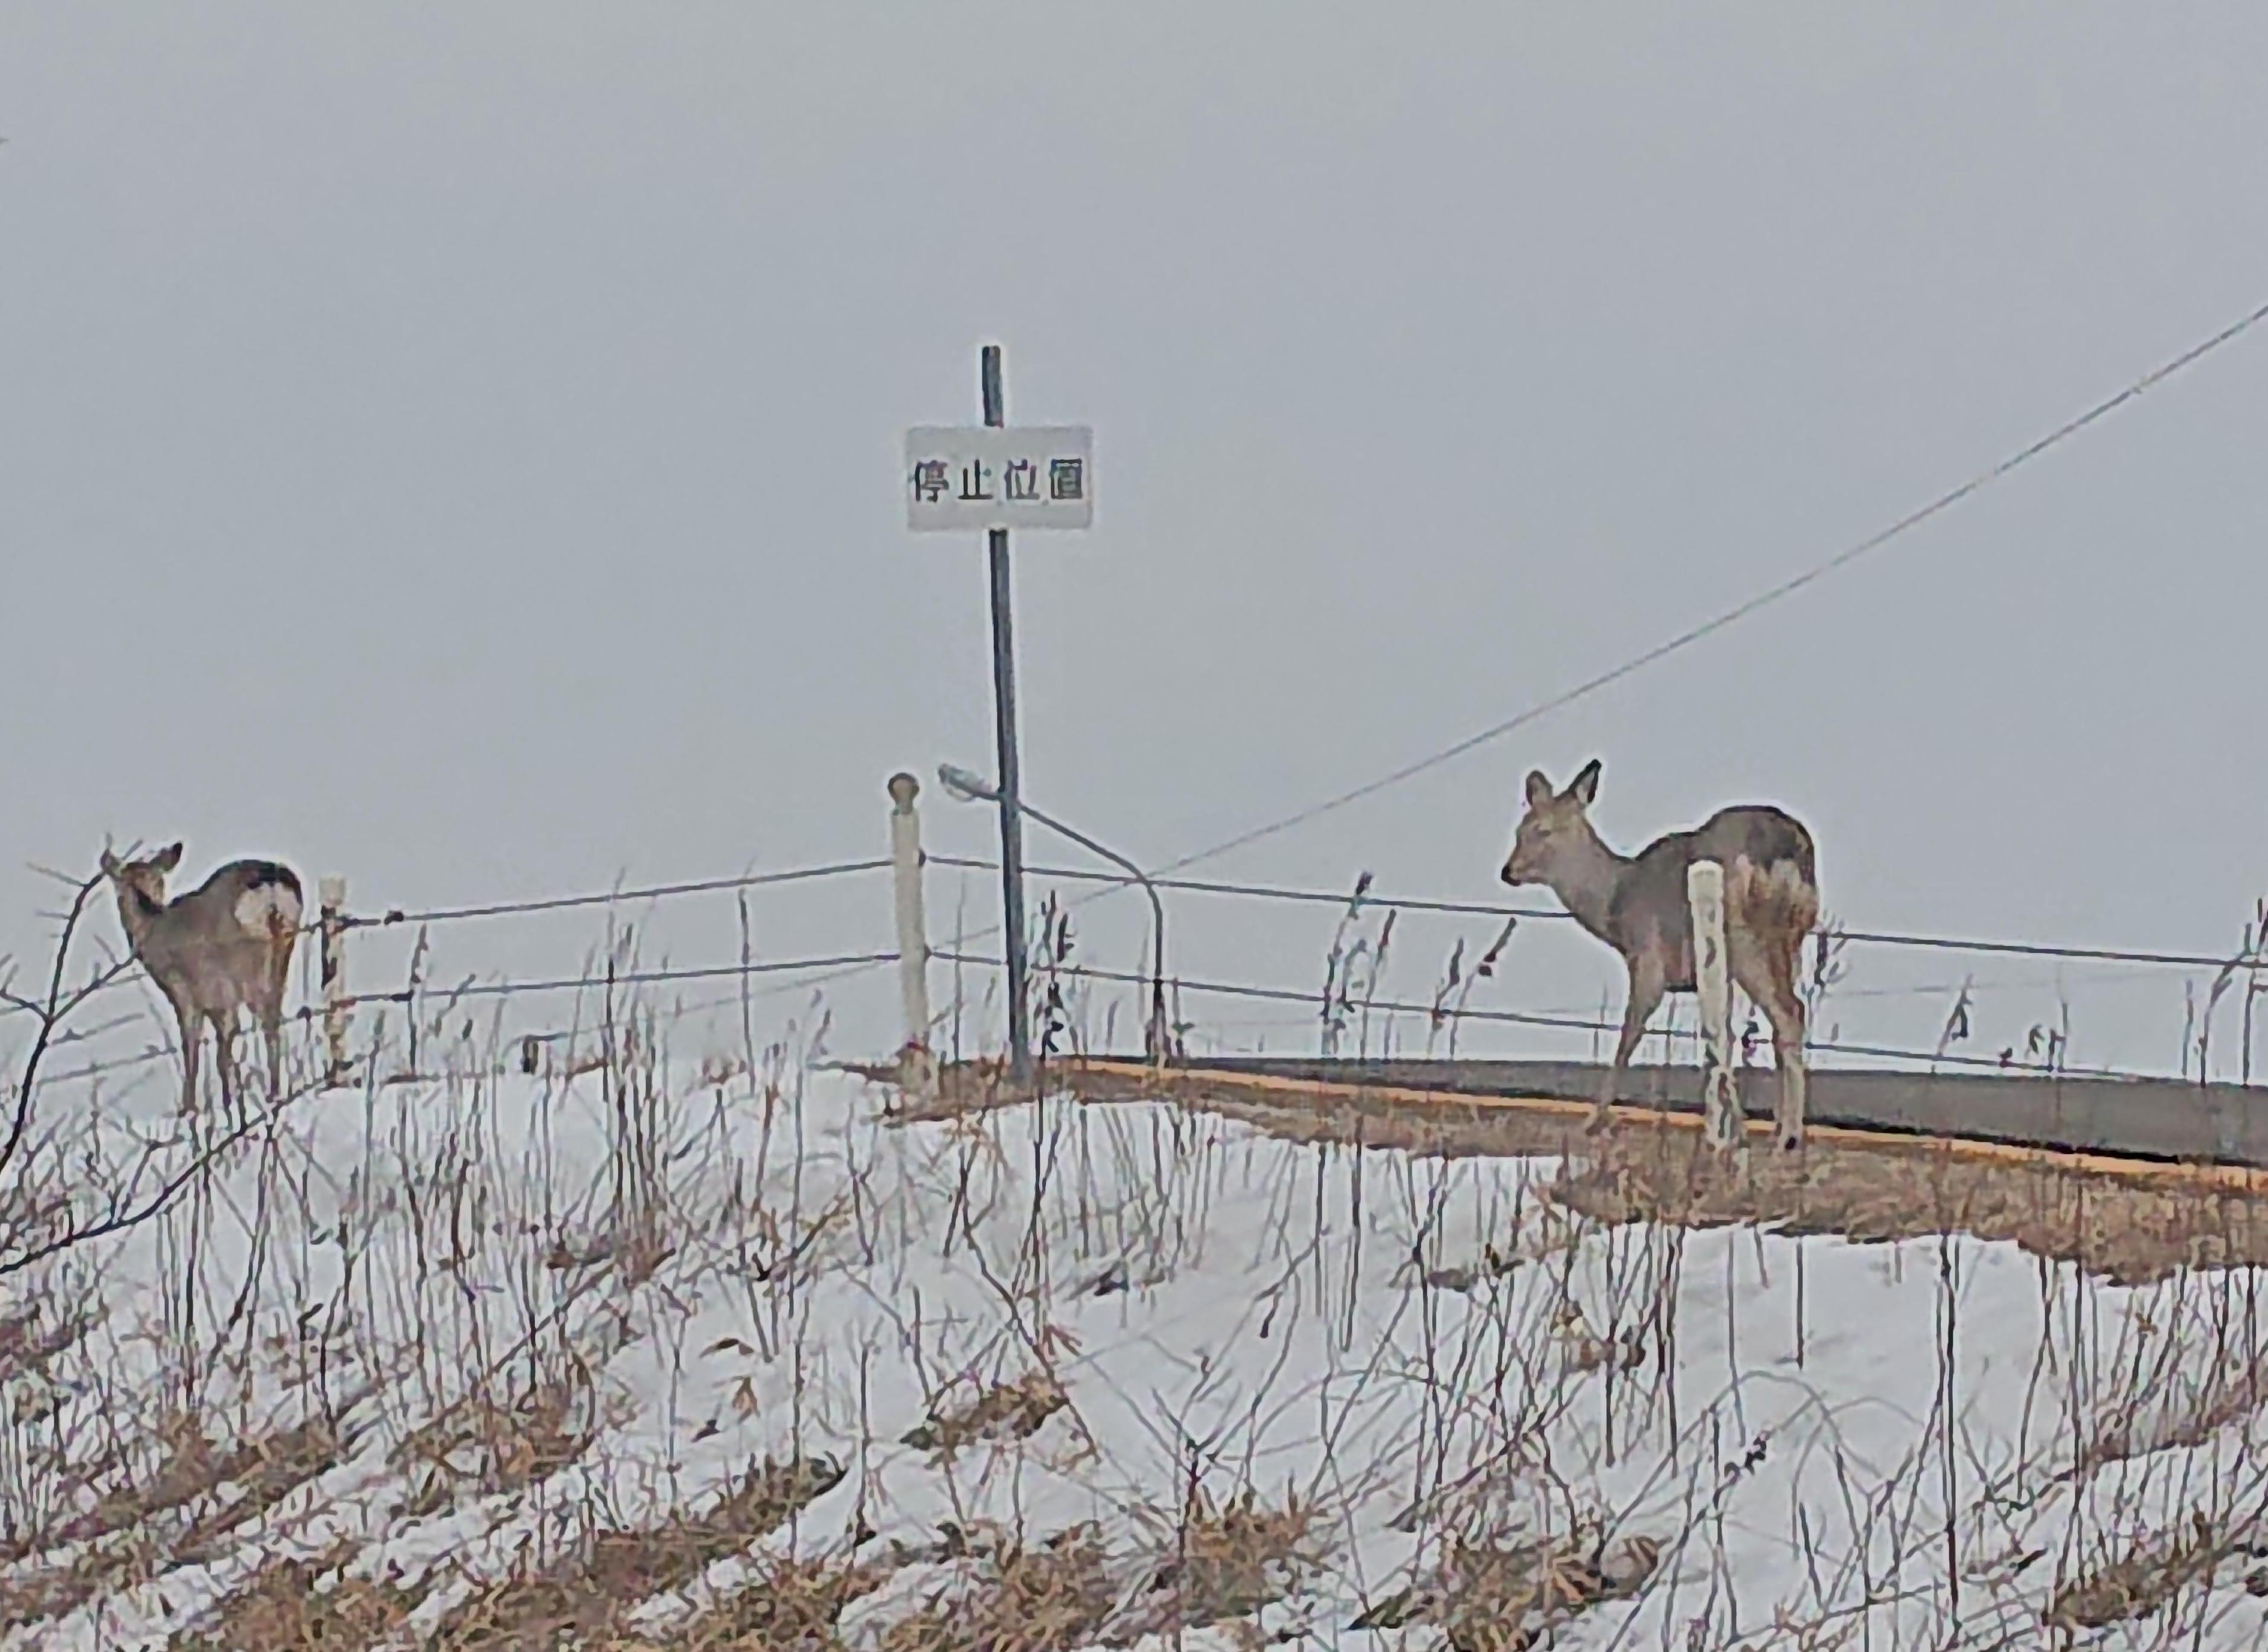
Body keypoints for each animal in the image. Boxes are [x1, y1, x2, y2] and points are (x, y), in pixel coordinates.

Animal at [102, 844, 308, 1116]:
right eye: (158, 881)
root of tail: (270, 883)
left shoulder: (189, 989)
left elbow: (192, 1040)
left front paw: (189, 1108)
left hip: (238, 964)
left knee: (249, 1026)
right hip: (283, 949)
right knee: (272, 1022)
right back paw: (273, 1095)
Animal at [1487, 762, 1823, 1148]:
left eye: (1544, 830)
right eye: (1519, 829)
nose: (1509, 871)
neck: (1616, 903)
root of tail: (1790, 852)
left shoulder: (1649, 958)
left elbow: (1630, 1034)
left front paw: (1593, 1120)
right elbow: (1720, 1034)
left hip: (1743, 937)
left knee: (1788, 1013)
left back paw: (1789, 1136)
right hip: (1790, 939)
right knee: (1789, 1015)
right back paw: (1783, 1130)